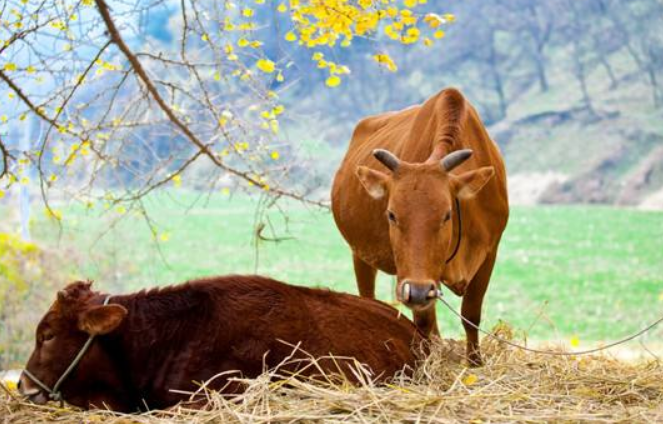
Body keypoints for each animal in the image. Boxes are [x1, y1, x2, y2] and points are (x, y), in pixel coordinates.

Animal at [332, 87, 508, 364]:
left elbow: (471, 314)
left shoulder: (490, 251)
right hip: (360, 254)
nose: (416, 291)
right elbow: (423, 322)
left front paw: (475, 362)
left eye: (447, 215)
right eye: (391, 214)